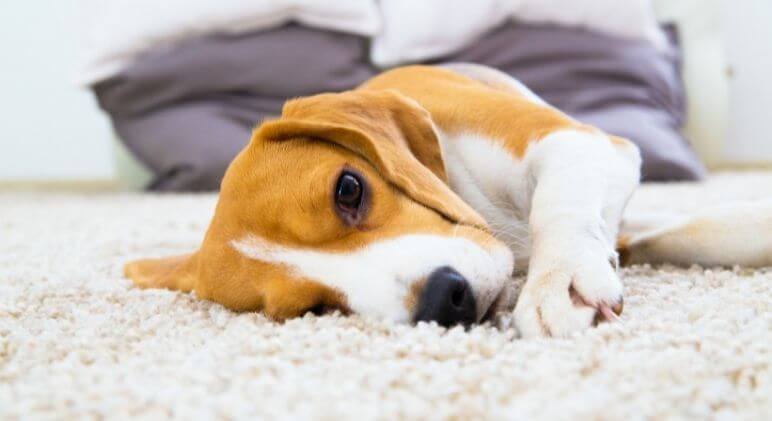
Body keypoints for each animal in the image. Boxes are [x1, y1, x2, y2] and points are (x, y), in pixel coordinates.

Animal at [125, 64, 772, 336]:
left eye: (349, 188)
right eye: (312, 309)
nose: (443, 299)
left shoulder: (580, 143)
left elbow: (562, 209)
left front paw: (558, 281)